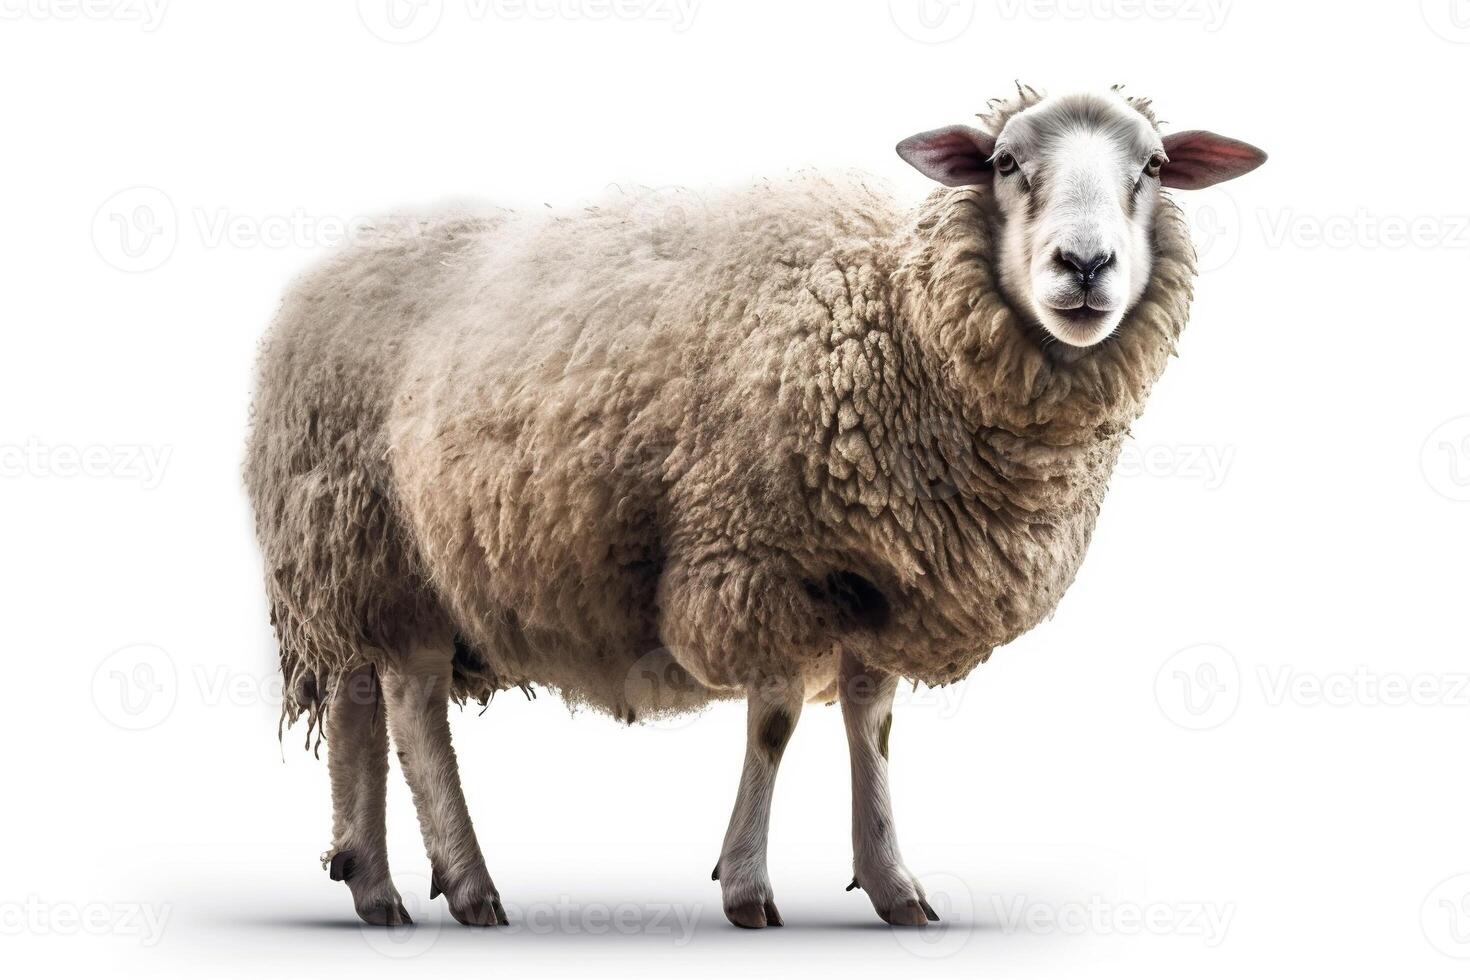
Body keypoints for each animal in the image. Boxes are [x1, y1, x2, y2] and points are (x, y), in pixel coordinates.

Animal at [244, 85, 1266, 930]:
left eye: (1154, 168)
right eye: (1008, 162)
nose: (1085, 264)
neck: (892, 324)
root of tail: (319, 274)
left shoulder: (877, 580)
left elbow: (871, 722)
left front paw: (894, 884)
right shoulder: (754, 557)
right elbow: (773, 723)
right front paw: (746, 886)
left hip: (352, 558)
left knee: (361, 703)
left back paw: (372, 882)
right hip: (375, 542)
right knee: (413, 703)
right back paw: (466, 886)